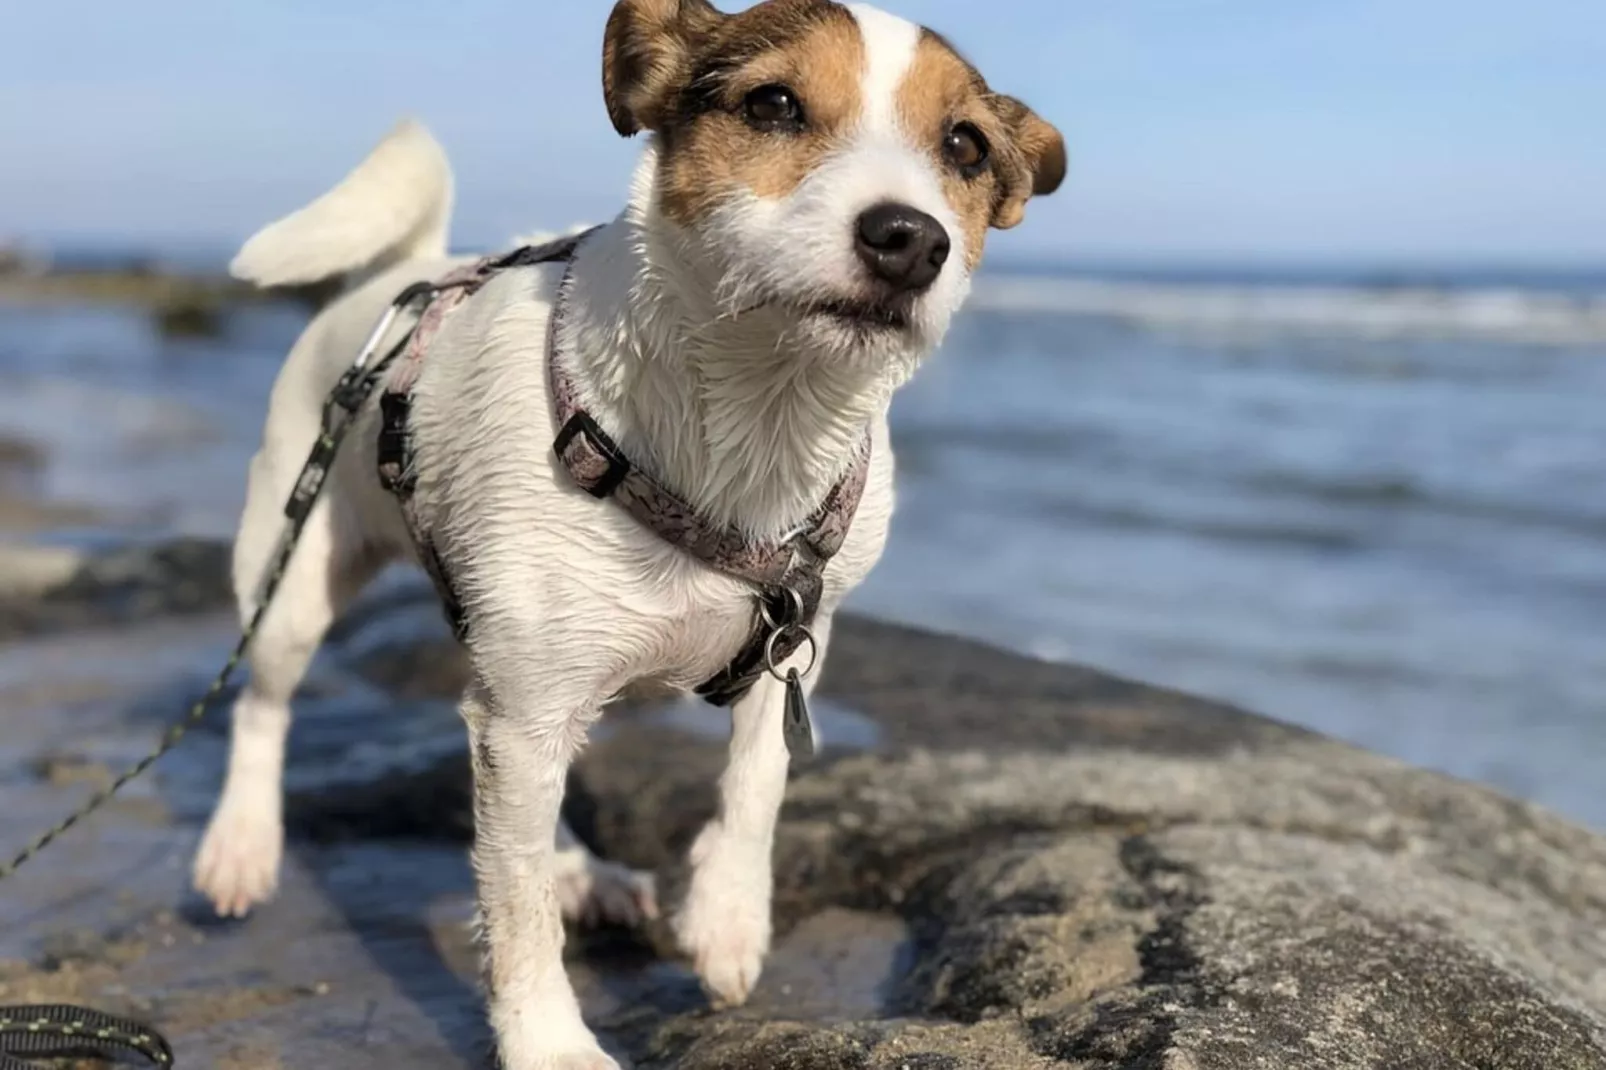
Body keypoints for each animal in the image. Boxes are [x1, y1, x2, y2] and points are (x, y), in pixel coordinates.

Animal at [191, 4, 1066, 1060]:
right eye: (773, 104)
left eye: (965, 146)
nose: (909, 238)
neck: (754, 429)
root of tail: (411, 273)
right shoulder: (526, 713)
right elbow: (515, 907)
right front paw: (548, 1043)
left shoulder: (792, 642)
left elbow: (757, 780)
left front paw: (727, 920)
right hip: (295, 579)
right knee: (265, 709)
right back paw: (241, 844)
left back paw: (583, 869)